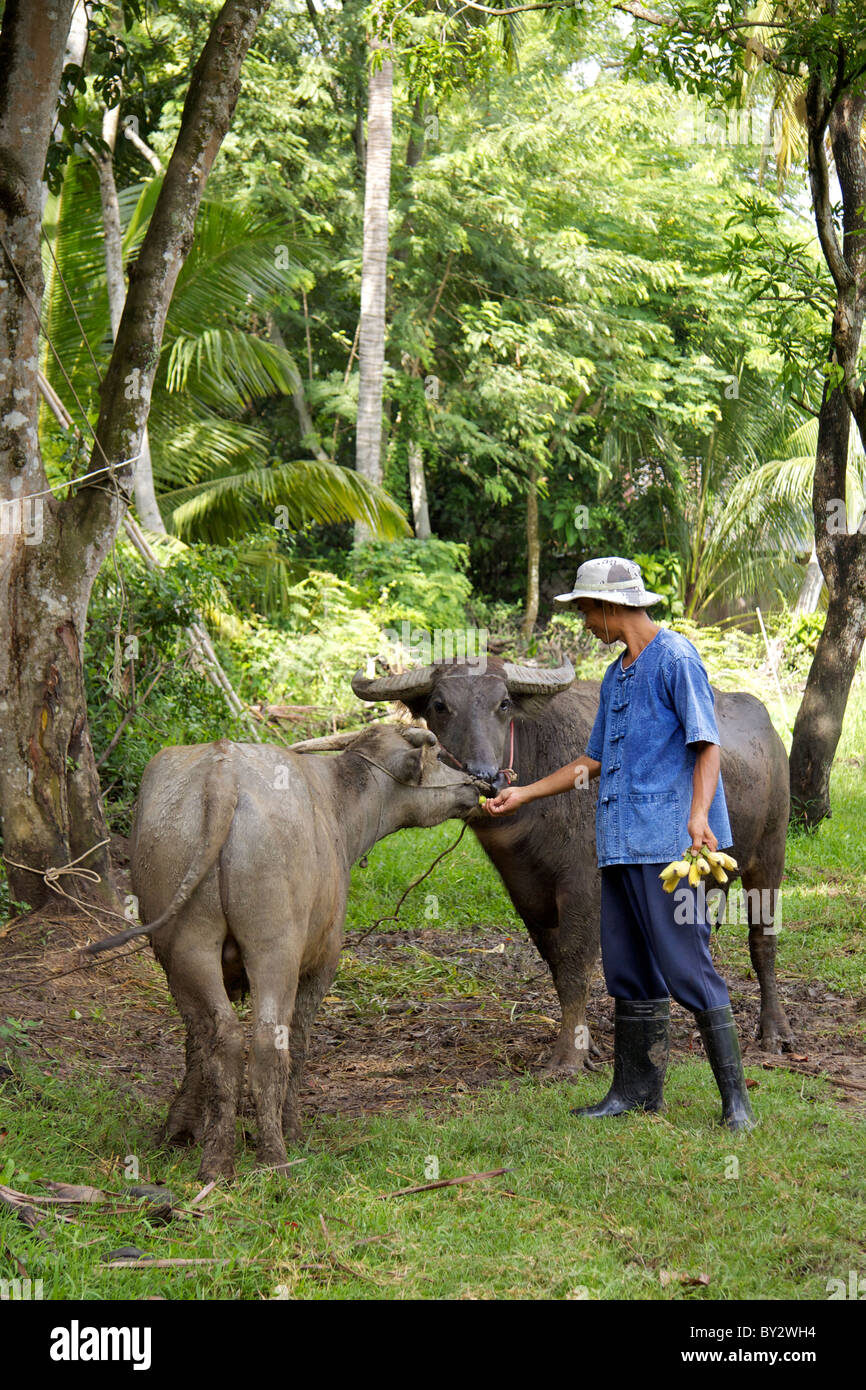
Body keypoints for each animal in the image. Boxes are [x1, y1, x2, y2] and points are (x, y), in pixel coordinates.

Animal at [82, 723, 485, 1180]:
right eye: (436, 754)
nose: (474, 786)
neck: (337, 804)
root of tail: (223, 774)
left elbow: (194, 1045)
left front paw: (182, 1128)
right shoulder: (322, 964)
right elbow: (301, 1040)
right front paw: (291, 1126)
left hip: (185, 944)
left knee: (219, 1037)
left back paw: (216, 1160)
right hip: (275, 946)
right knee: (267, 1042)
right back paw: (274, 1155)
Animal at [351, 656, 793, 1072]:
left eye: (503, 703)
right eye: (440, 706)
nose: (485, 777)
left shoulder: (584, 885)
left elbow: (575, 963)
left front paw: (567, 1057)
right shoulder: (527, 893)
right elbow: (555, 963)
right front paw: (587, 1042)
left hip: (770, 854)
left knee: (762, 941)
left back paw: (775, 1031)